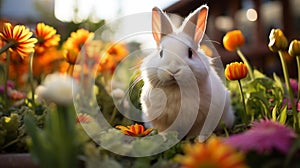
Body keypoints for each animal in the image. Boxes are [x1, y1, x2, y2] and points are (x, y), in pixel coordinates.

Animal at [139, 5, 236, 139]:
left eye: (190, 52)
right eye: (161, 53)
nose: (173, 70)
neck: (176, 88)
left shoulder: (203, 118)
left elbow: (198, 130)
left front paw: (197, 139)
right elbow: (164, 130)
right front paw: (165, 138)